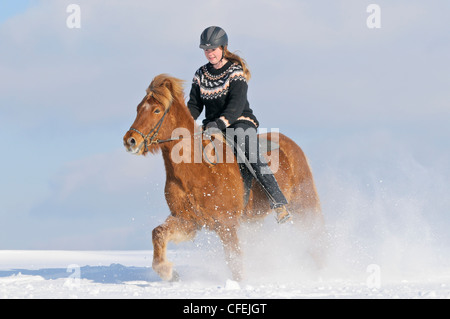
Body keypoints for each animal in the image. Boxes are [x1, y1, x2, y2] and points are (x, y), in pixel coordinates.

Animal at [123, 74, 326, 282]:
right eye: (138, 108)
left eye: (157, 110)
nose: (130, 141)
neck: (199, 170)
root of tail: (292, 146)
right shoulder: (188, 221)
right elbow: (158, 233)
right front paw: (168, 272)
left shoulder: (227, 225)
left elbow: (234, 260)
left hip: (303, 204)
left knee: (315, 237)